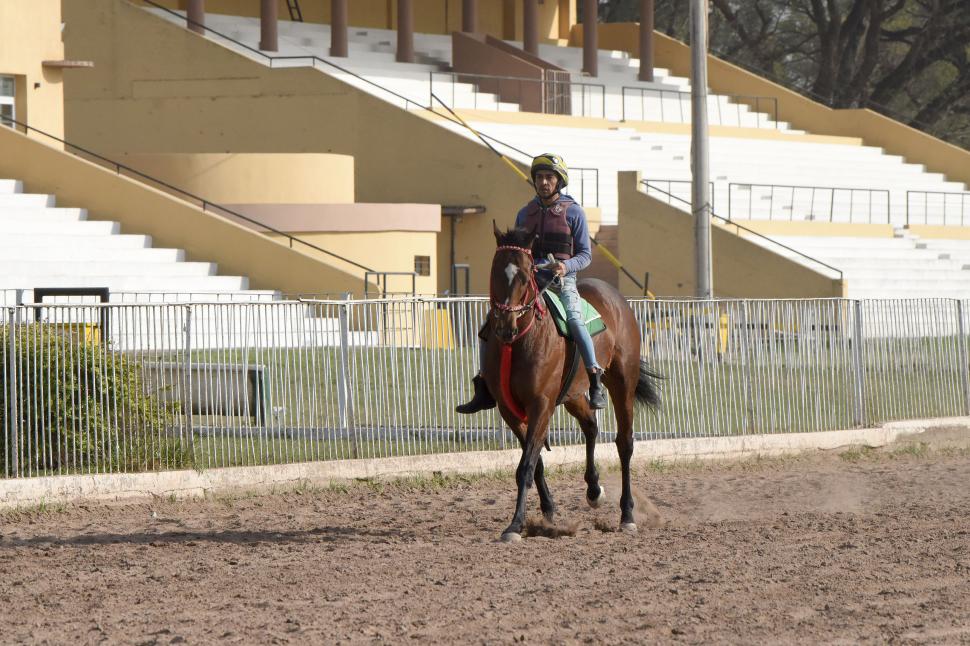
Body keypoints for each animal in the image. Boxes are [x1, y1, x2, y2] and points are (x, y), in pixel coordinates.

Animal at [482, 225, 656, 544]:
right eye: (495, 271)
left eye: (524, 275)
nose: (505, 326)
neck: (521, 341)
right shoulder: (509, 410)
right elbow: (535, 461)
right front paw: (548, 512)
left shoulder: (541, 404)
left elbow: (526, 466)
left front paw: (515, 525)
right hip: (573, 393)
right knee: (590, 425)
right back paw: (594, 490)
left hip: (622, 382)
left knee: (624, 443)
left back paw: (627, 515)